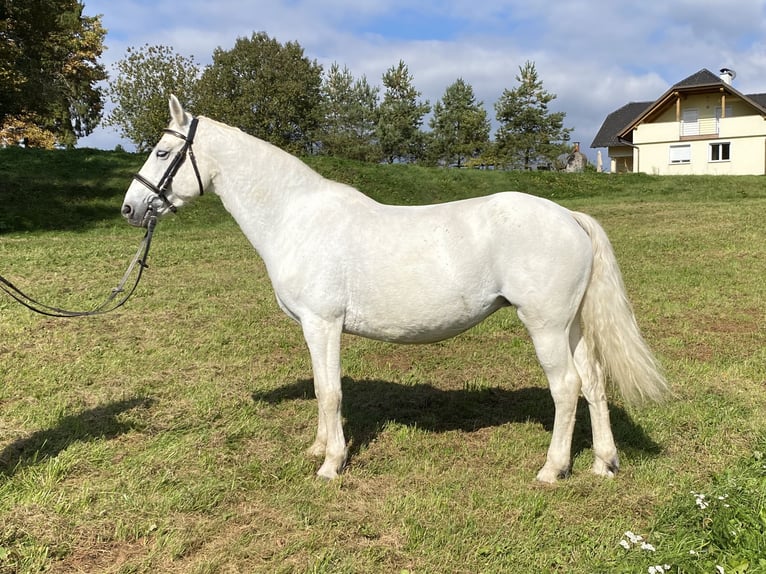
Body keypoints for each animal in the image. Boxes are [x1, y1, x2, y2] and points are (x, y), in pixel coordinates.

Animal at [121, 96, 668, 483]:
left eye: (163, 152)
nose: (130, 208)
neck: (296, 217)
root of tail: (569, 217)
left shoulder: (323, 325)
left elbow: (330, 392)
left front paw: (331, 464)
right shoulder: (314, 330)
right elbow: (322, 389)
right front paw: (318, 447)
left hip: (546, 326)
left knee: (567, 388)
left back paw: (553, 470)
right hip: (570, 325)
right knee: (593, 382)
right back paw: (603, 463)